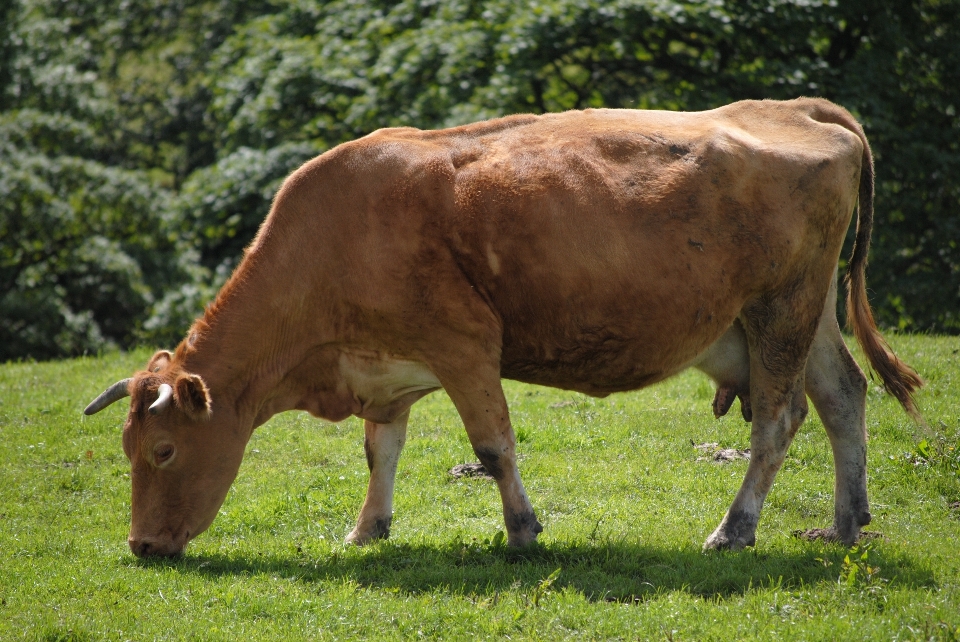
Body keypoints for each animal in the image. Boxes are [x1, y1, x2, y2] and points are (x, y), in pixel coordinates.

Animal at [84, 96, 924, 556]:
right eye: (125, 448)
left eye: (162, 450)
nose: (142, 545)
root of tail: (794, 107)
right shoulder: (386, 363)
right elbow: (380, 450)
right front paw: (367, 529)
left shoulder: (464, 345)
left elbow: (492, 445)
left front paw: (522, 528)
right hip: (804, 314)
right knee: (844, 397)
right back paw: (845, 524)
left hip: (780, 308)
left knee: (779, 420)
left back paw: (736, 528)